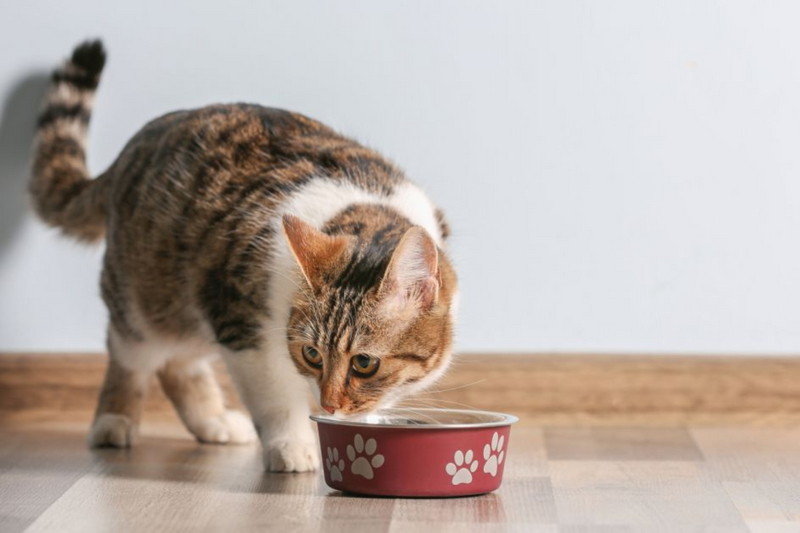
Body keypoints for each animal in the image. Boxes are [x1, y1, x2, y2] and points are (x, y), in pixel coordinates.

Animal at [31, 43, 460, 472]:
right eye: (311, 355)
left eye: (365, 363)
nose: (329, 406)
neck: (364, 209)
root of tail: (126, 155)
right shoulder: (242, 322)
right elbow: (275, 395)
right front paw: (293, 444)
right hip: (149, 295)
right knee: (132, 351)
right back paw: (113, 420)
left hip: (194, 300)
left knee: (178, 362)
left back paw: (214, 421)